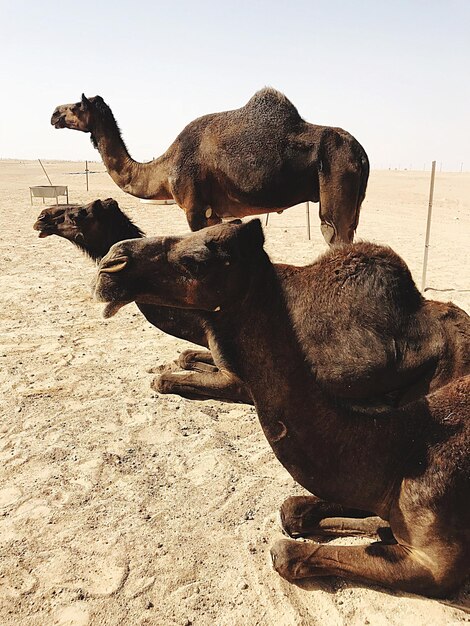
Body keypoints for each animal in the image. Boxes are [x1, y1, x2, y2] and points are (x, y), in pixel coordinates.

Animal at [49, 88, 370, 244]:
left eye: (76, 106)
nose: (53, 113)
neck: (163, 170)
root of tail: (362, 154)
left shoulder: (193, 208)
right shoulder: (214, 213)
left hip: (336, 180)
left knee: (333, 232)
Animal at [92, 219, 470, 596]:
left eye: (196, 261)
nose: (110, 263)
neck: (403, 448)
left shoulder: (435, 564)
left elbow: (284, 553)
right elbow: (293, 510)